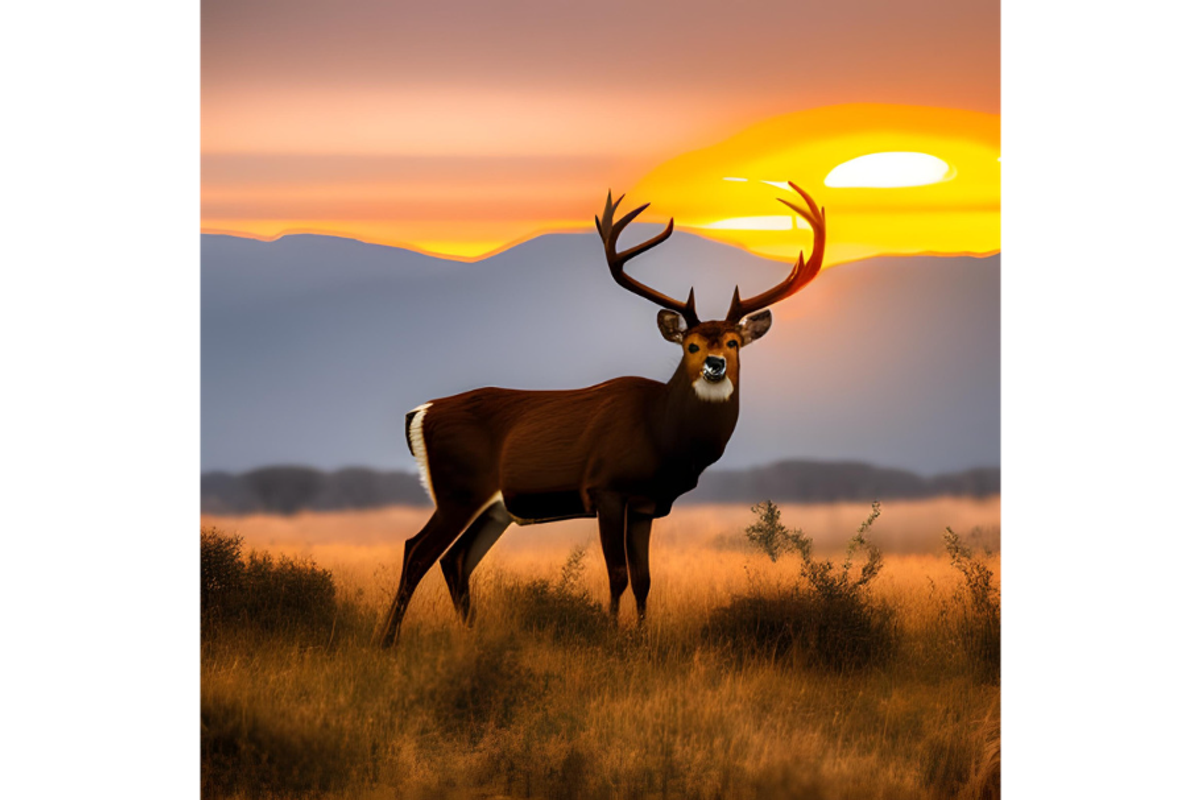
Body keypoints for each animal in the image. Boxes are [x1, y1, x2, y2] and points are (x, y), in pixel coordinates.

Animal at [377, 182, 826, 647]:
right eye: (692, 344)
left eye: (734, 342)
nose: (715, 364)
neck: (662, 433)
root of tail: (420, 412)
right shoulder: (607, 488)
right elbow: (617, 574)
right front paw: (611, 636)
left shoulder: (647, 504)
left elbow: (644, 578)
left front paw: (642, 639)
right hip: (458, 489)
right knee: (417, 550)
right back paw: (387, 640)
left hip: (493, 508)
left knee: (455, 561)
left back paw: (472, 634)